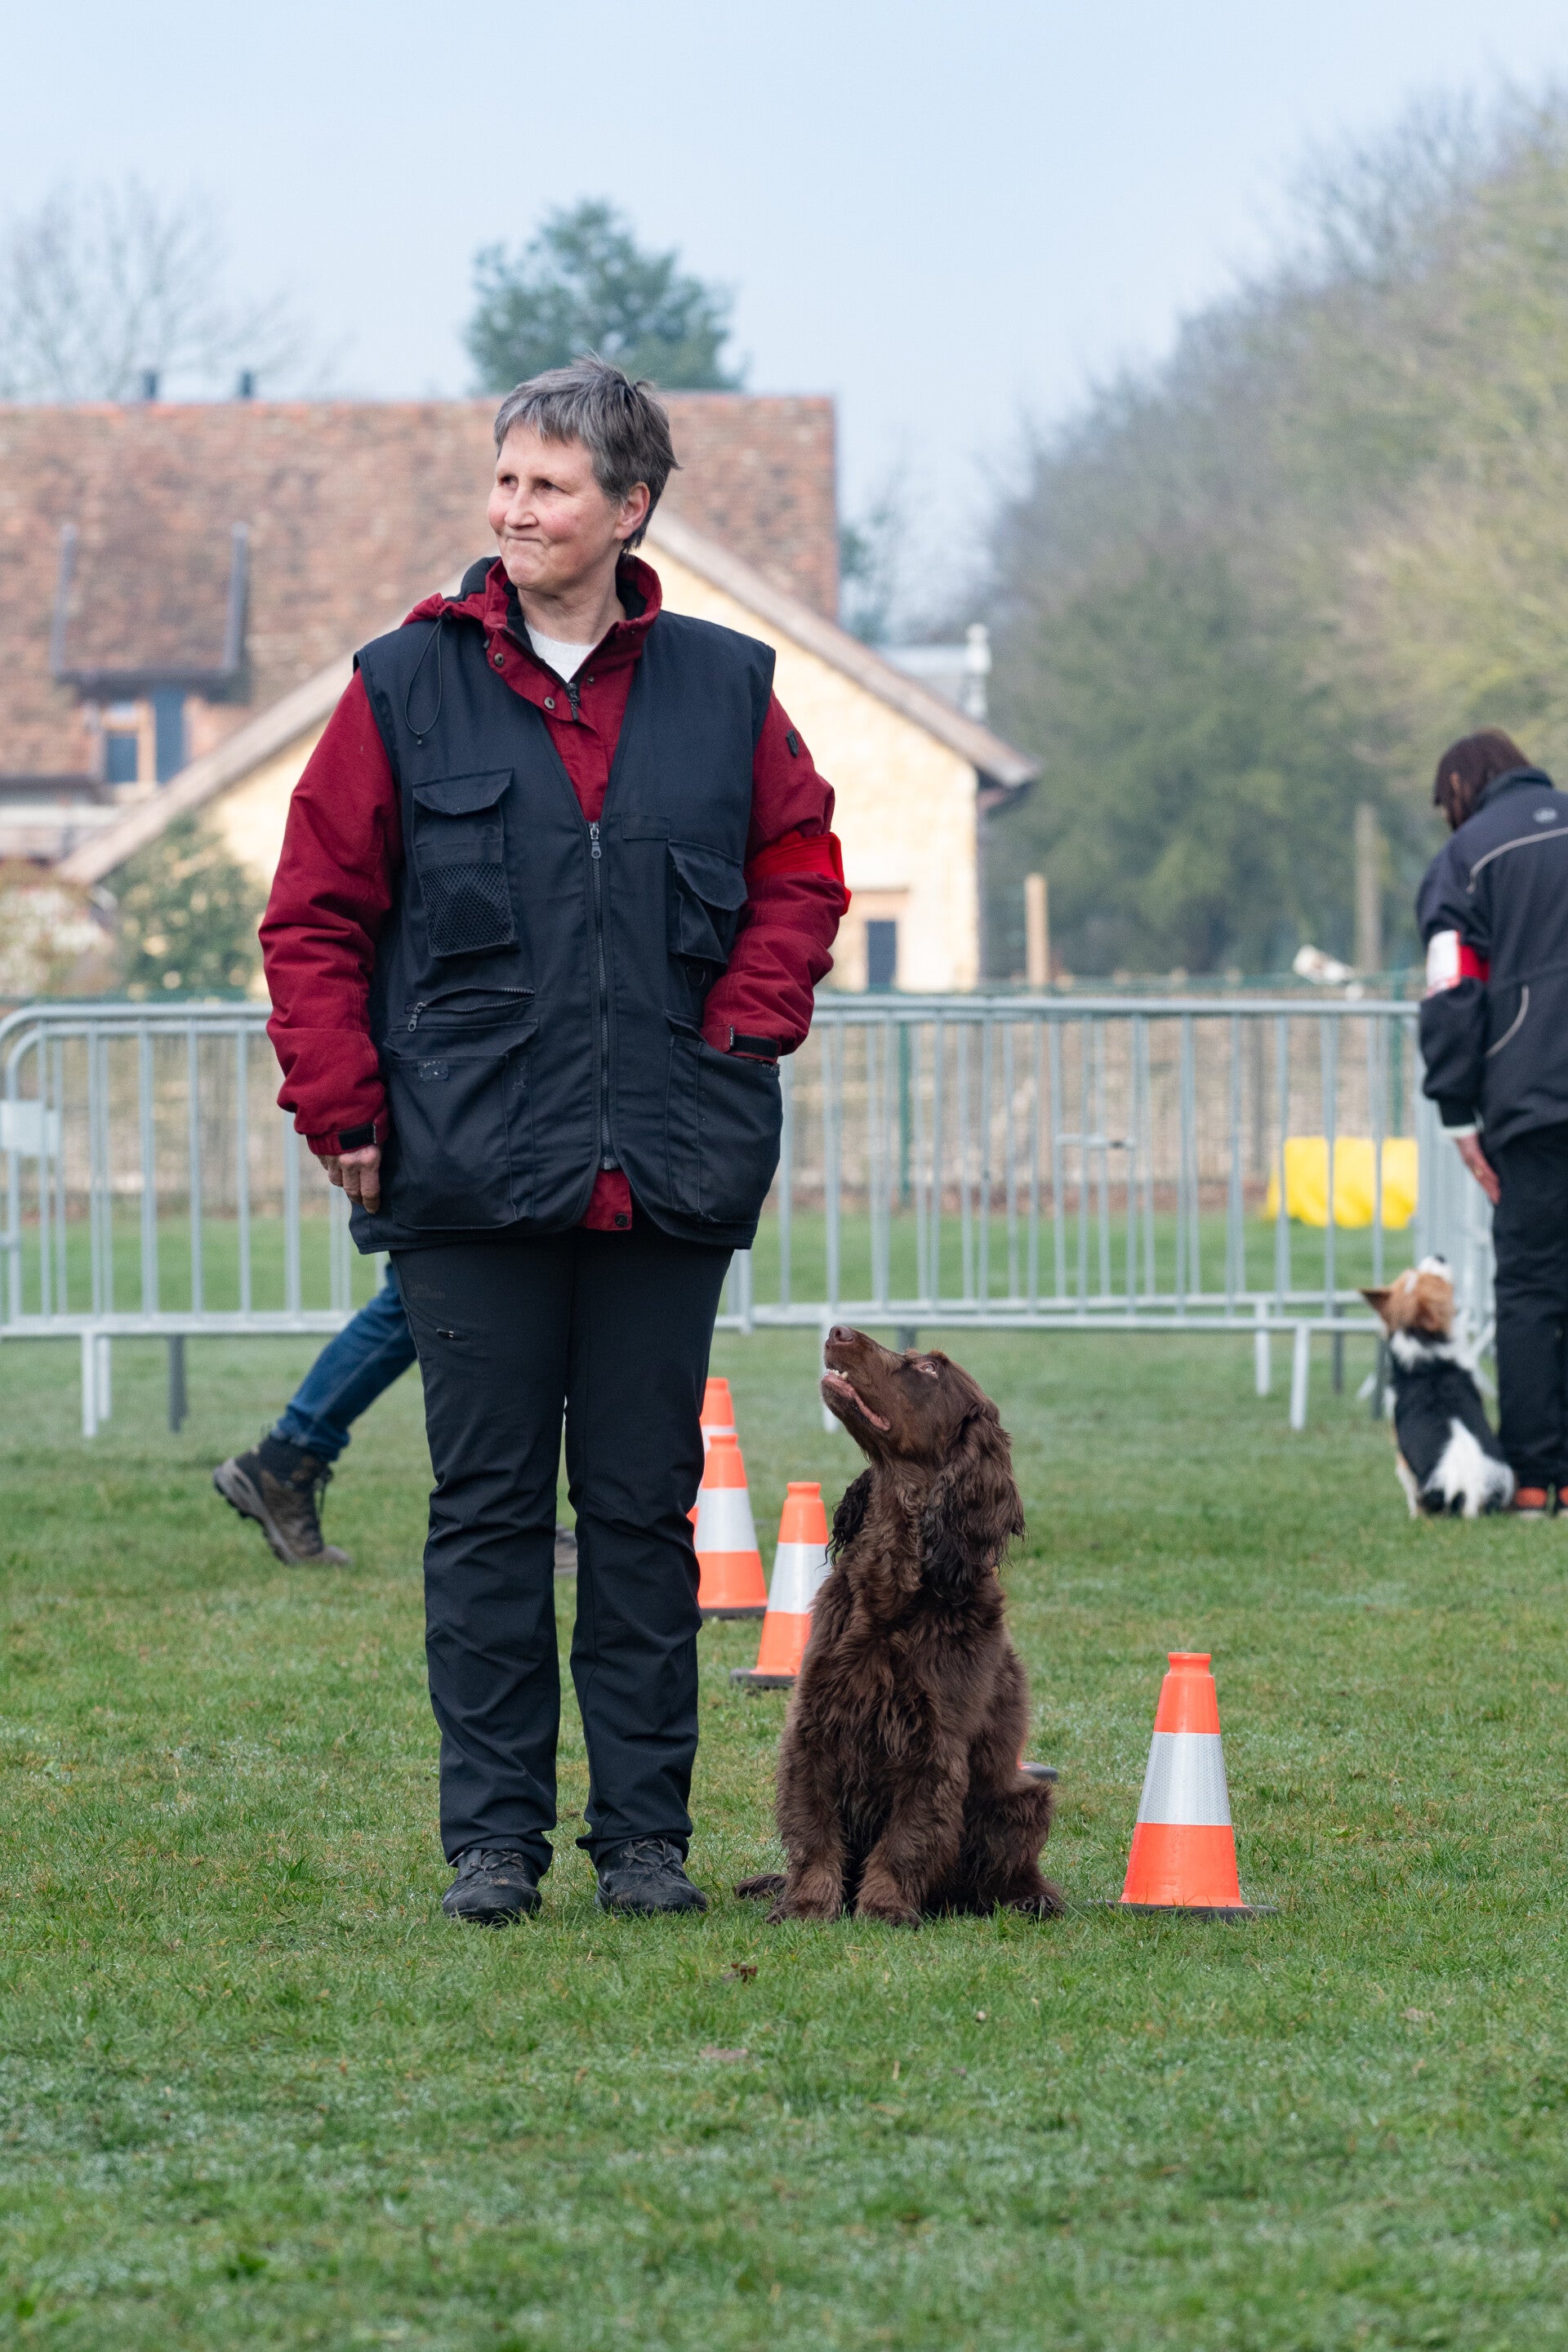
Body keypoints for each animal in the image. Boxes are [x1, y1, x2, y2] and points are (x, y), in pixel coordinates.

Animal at [735, 1325, 1060, 1926]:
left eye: (930, 1370)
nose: (839, 1331)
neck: (894, 1585)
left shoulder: (932, 1746)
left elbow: (906, 1839)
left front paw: (884, 1908)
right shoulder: (814, 1727)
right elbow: (814, 1834)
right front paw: (806, 1904)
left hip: (1026, 1798)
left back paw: (1031, 1898)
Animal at [1361, 1256, 1514, 1519]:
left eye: (1436, 1280)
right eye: (1413, 1271)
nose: (1440, 1256)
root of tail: (1469, 1491)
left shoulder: (1401, 1456)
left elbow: (1407, 1485)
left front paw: (1413, 1517)